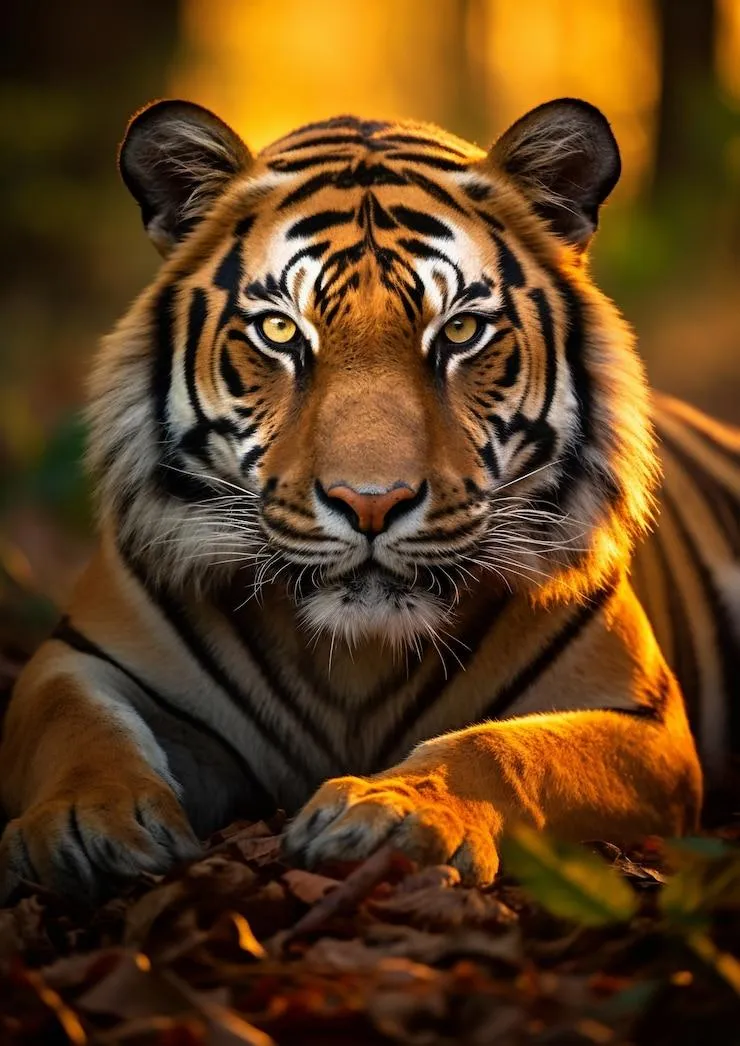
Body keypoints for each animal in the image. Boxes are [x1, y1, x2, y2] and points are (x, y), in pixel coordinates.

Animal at [0, 94, 736, 901]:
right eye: (280, 329)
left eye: (462, 330)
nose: (372, 503)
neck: (354, 659)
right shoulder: (79, 659)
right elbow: (78, 726)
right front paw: (86, 824)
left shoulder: (645, 720)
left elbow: (506, 751)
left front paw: (392, 813)